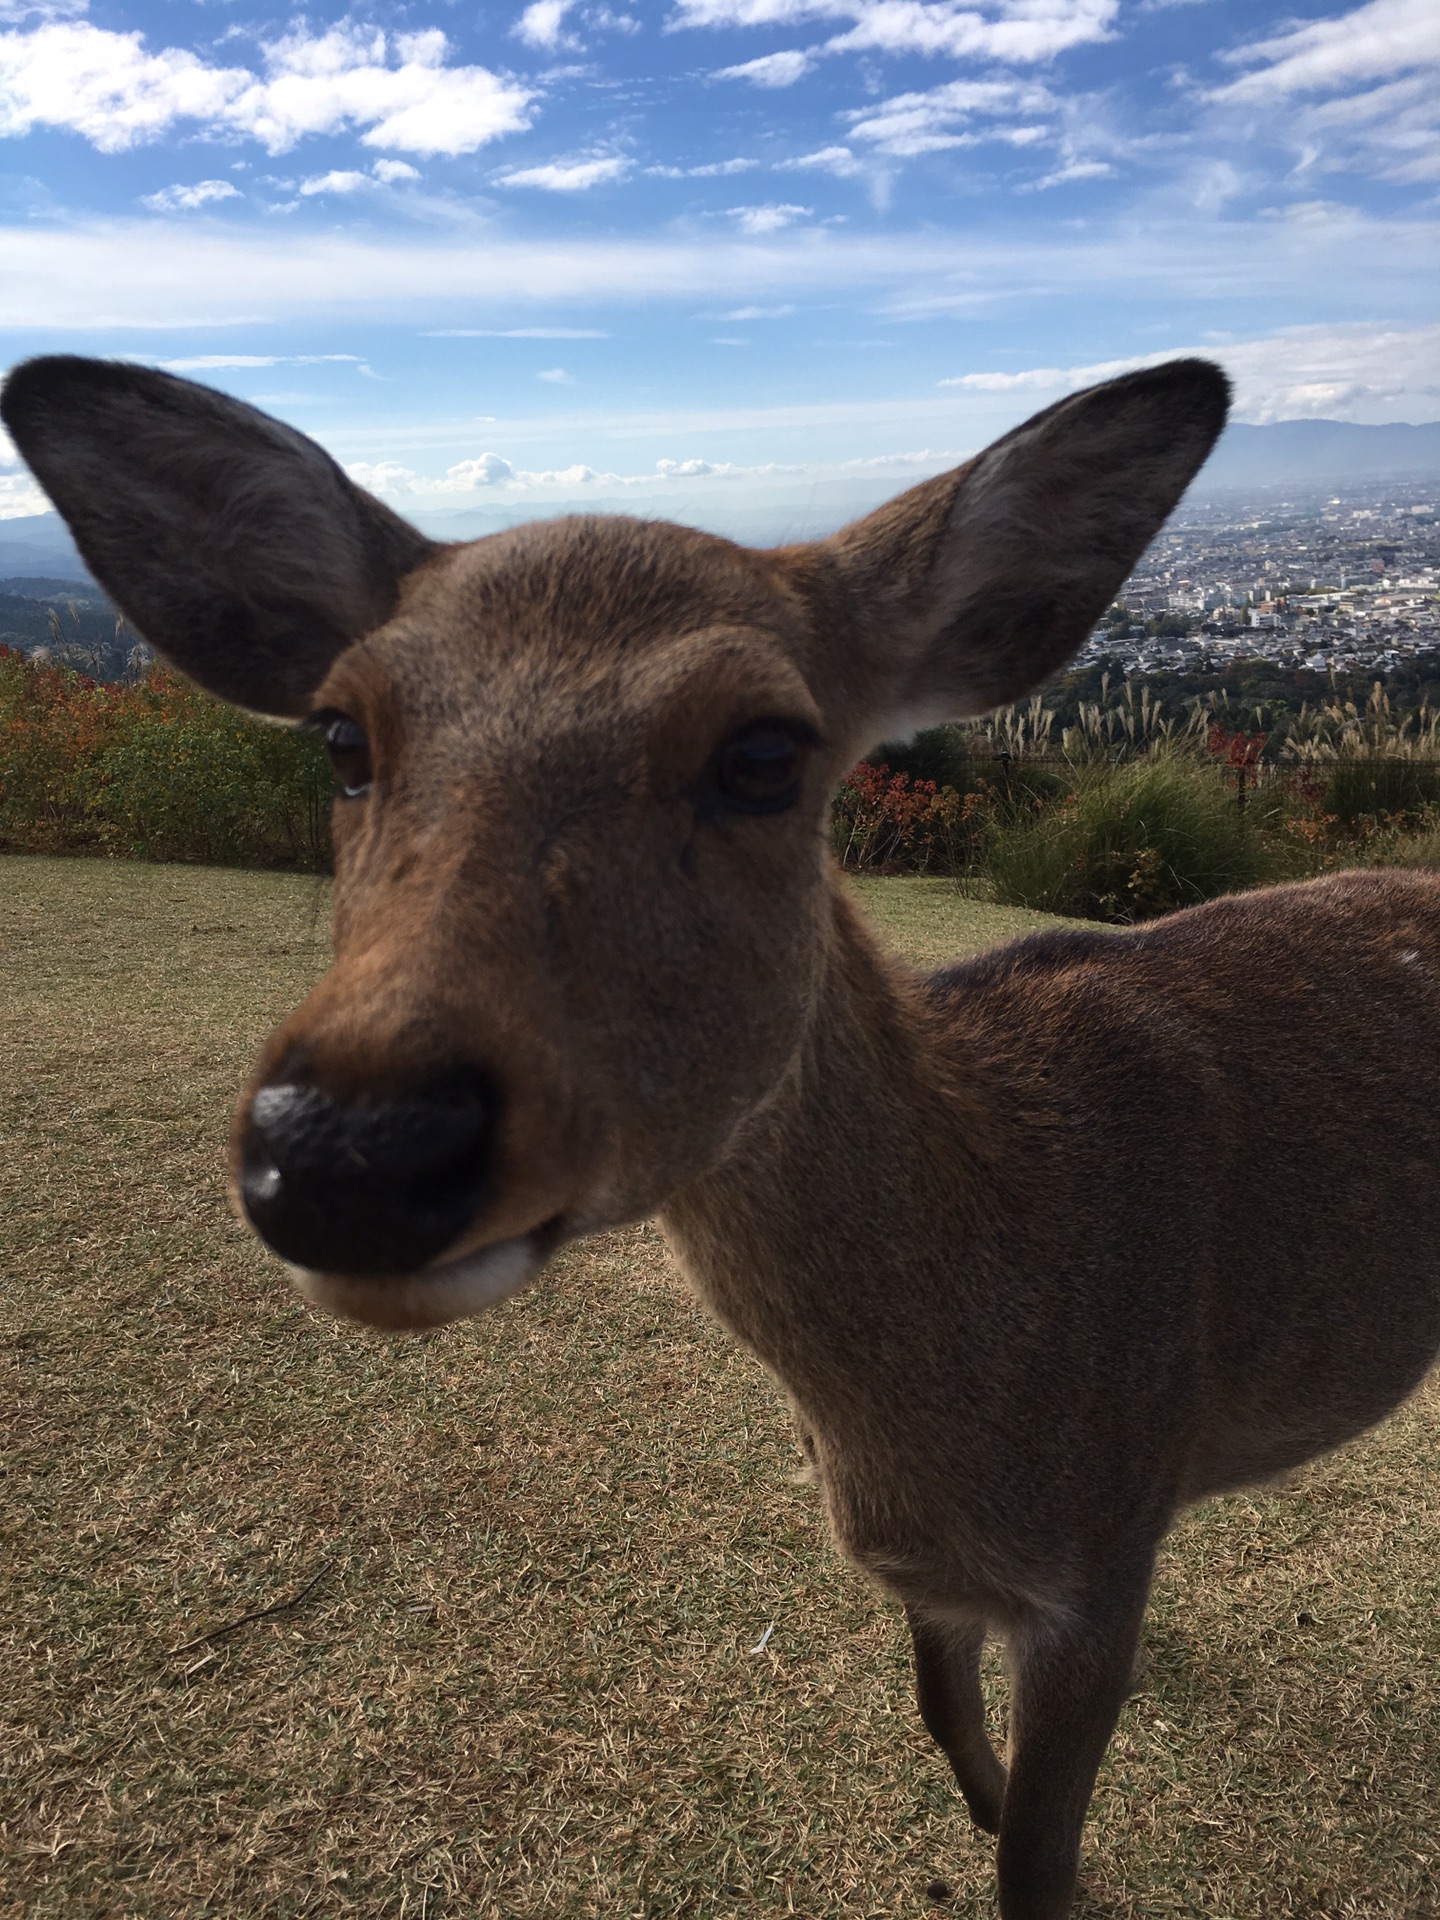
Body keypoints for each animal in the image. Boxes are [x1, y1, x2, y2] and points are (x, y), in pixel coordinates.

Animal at [5, 349, 1436, 1920]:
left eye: (764, 751)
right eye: (342, 738)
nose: (343, 1154)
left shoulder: (1089, 1562)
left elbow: (1037, 1862)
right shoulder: (940, 1573)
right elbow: (944, 1726)